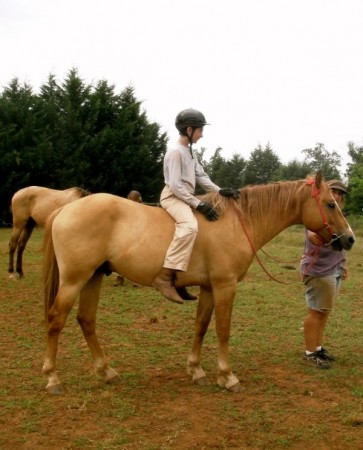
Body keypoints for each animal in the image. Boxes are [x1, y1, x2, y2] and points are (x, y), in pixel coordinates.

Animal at [42, 174, 356, 396]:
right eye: (331, 204)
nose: (350, 238)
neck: (235, 223)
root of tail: (66, 209)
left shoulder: (208, 288)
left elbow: (201, 326)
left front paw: (196, 371)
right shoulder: (225, 286)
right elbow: (223, 330)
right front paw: (227, 376)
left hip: (93, 277)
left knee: (86, 320)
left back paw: (105, 371)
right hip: (74, 280)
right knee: (56, 320)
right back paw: (52, 378)